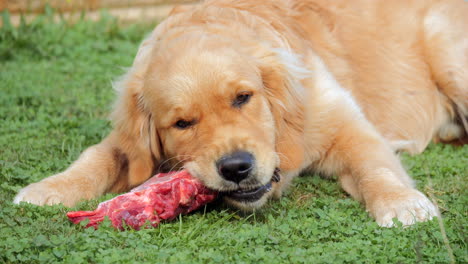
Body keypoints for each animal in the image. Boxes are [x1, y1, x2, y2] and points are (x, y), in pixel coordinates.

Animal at [12, 0, 466, 227]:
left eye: (243, 97)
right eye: (182, 123)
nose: (236, 168)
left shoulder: (345, 123)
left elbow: (377, 167)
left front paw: (402, 203)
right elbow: (100, 155)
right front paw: (49, 188)